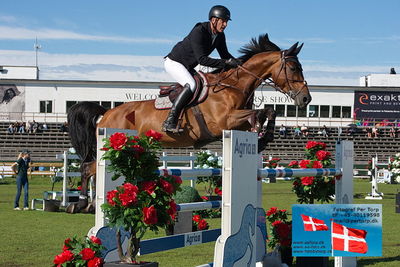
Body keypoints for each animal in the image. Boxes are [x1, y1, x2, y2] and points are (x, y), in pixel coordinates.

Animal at [67, 33, 312, 214]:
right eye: (293, 68)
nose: (305, 99)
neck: (232, 87)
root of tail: (107, 112)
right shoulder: (223, 122)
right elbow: (260, 113)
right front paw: (262, 134)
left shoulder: (235, 124)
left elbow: (268, 111)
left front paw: (264, 137)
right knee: (88, 168)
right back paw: (80, 203)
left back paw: (93, 203)